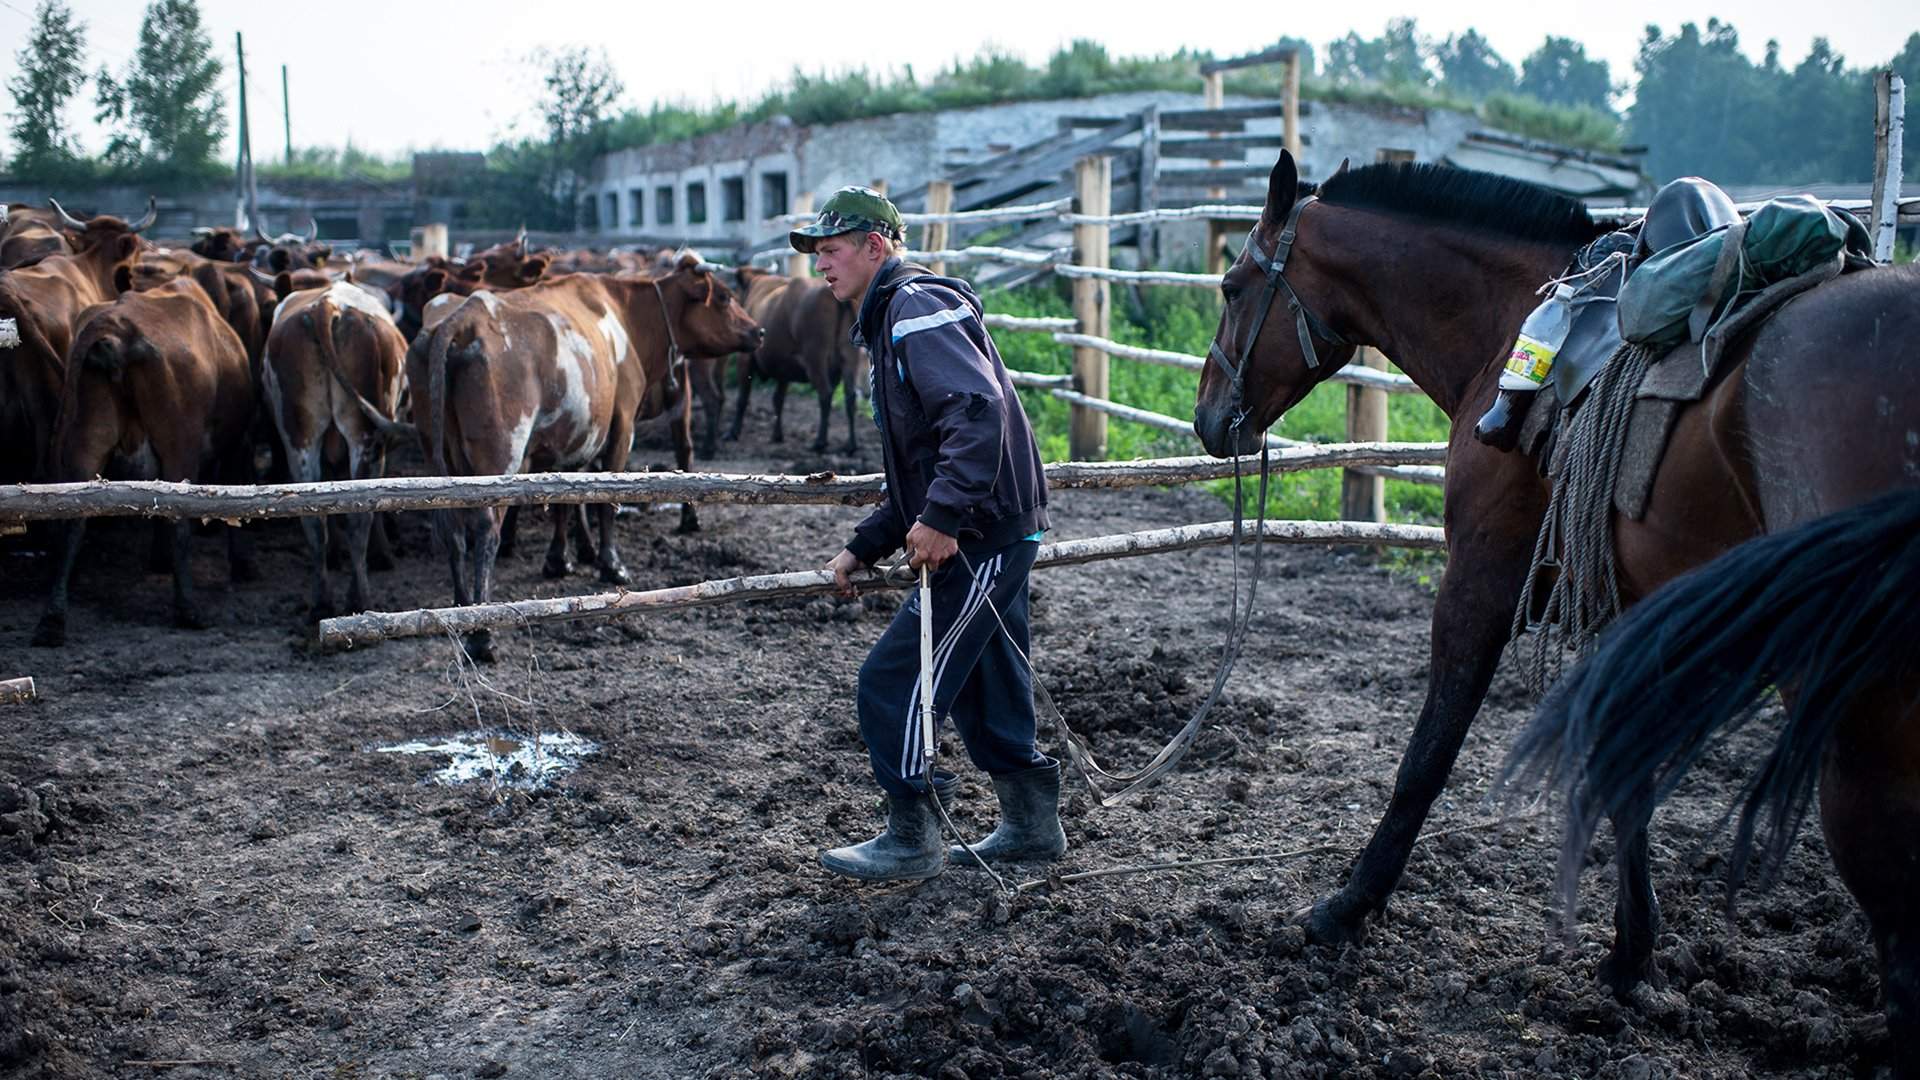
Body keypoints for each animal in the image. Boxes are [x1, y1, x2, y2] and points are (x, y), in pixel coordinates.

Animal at [32, 276, 255, 645]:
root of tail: (115, 331)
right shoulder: (237, 444)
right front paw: (241, 564)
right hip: (181, 445)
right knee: (178, 520)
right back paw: (189, 610)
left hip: (85, 439)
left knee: (73, 521)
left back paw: (53, 619)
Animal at [263, 274, 408, 622]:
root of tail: (326, 304)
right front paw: (383, 554)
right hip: (366, 436)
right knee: (360, 517)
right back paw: (360, 599)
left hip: (299, 437)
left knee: (313, 520)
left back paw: (321, 602)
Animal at [721, 269, 867, 457]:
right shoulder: (784, 367)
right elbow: (778, 399)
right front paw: (777, 435)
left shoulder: (745, 359)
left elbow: (742, 398)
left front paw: (733, 432)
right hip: (849, 357)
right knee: (850, 398)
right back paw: (851, 445)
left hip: (815, 357)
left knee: (825, 394)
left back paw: (819, 442)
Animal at [1198, 147, 1920, 1022]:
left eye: (1233, 287)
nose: (1207, 419)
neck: (1512, 321)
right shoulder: (1619, 606)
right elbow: (1622, 774)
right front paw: (1631, 955)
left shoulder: (1480, 584)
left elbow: (1427, 758)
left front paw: (1347, 906)